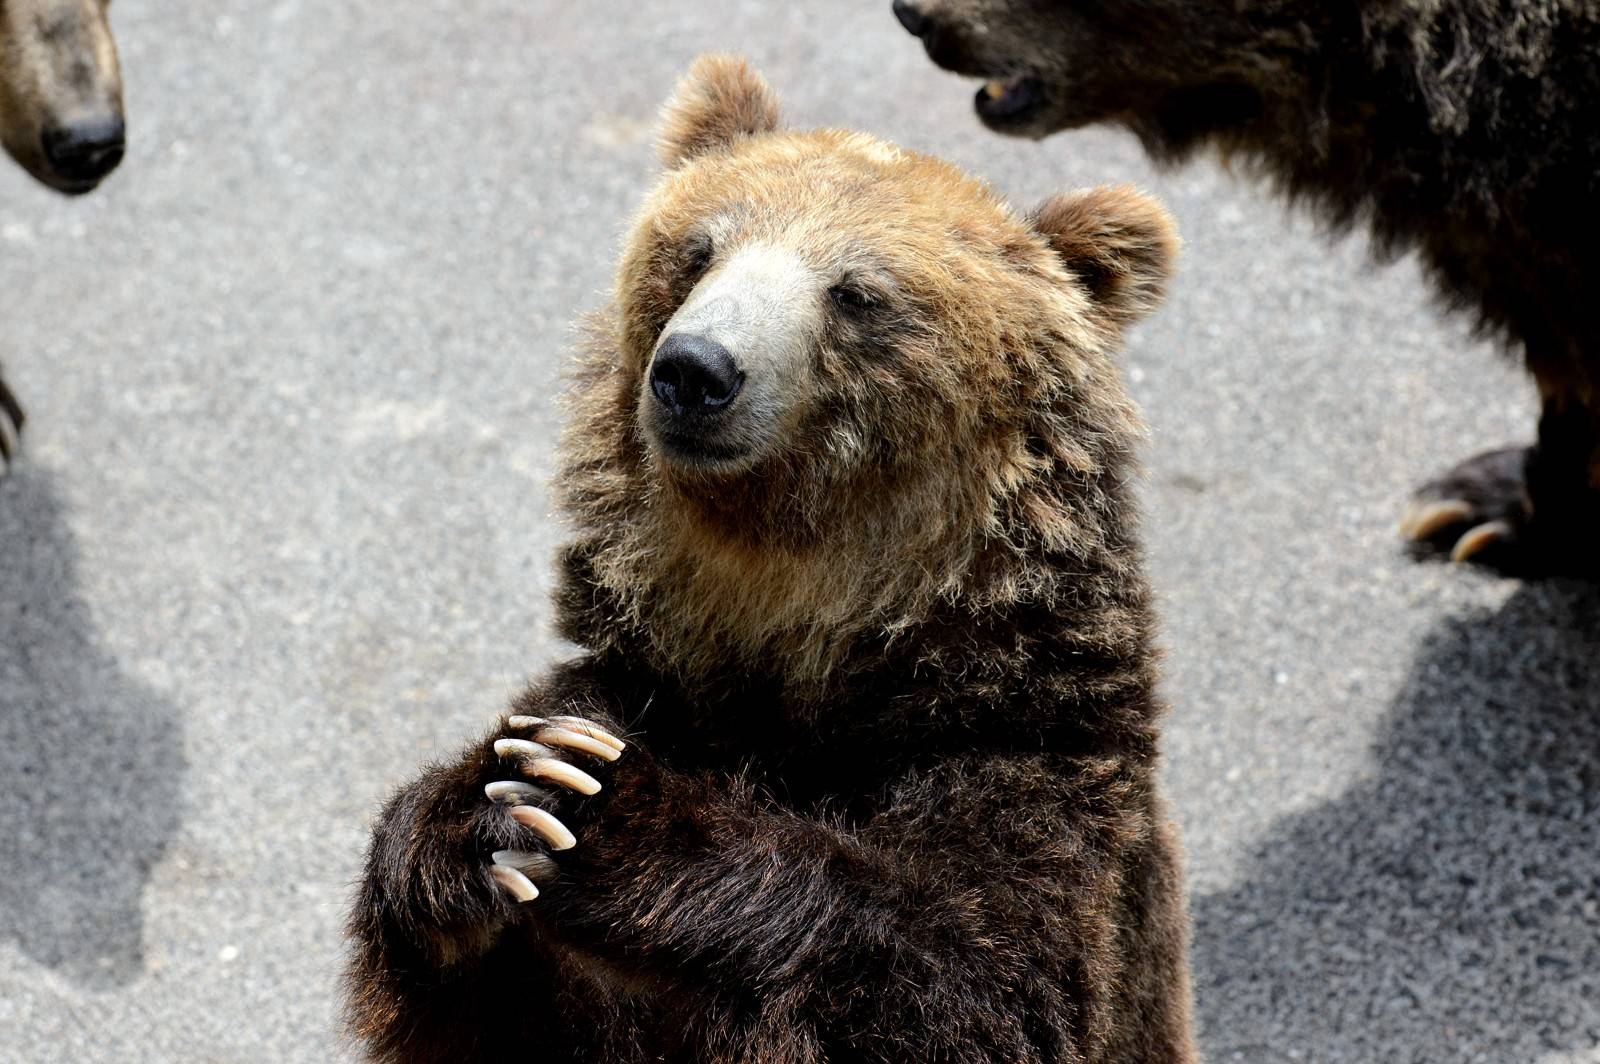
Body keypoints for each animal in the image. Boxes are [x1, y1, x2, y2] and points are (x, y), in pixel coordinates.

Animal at [345, 54, 1195, 1064]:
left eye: (858, 292)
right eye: (698, 248)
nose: (694, 369)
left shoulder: (1029, 756)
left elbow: (980, 976)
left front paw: (597, 803)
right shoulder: (631, 682)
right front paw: (491, 806)